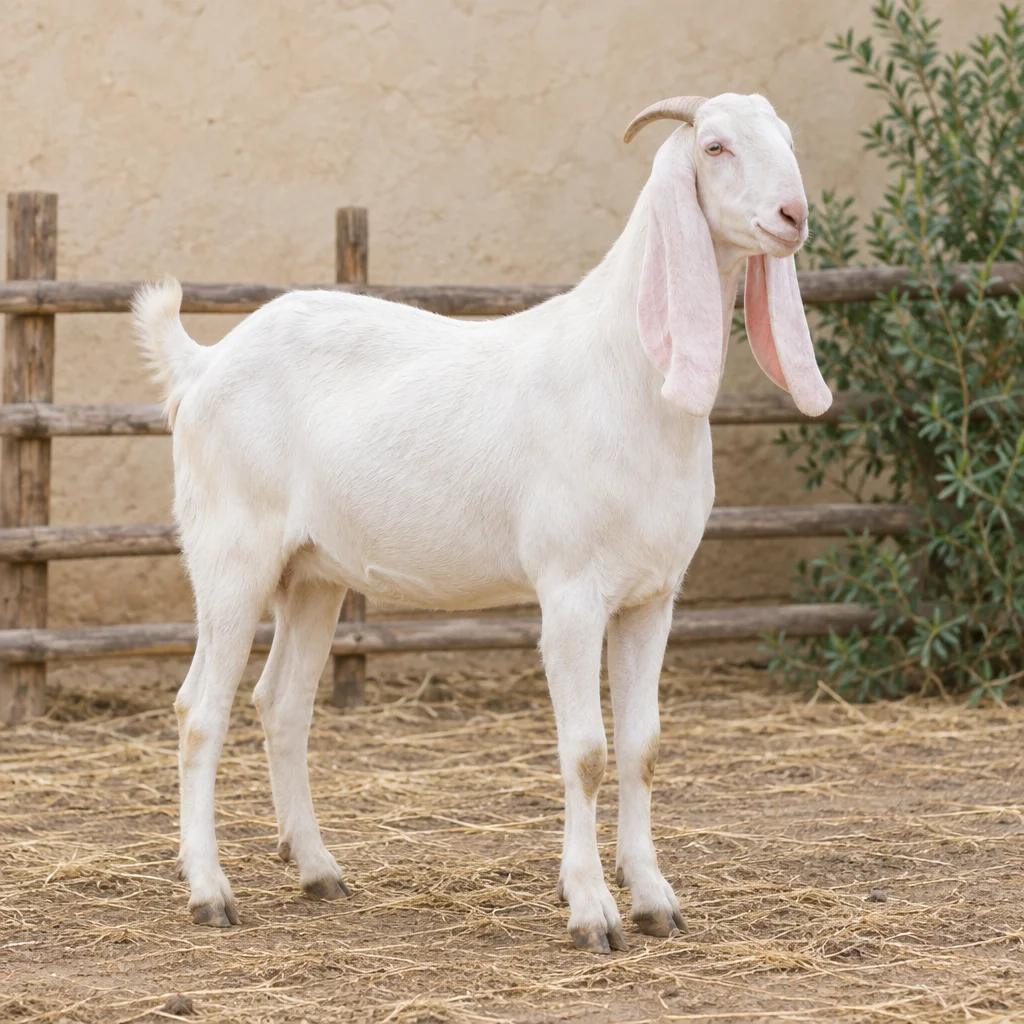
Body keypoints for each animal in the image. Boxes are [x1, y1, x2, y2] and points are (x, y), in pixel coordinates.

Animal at [133, 92, 831, 954]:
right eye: (715, 146)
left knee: (282, 704)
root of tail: (202, 365)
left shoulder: (652, 596)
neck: (627, 376)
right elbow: (587, 753)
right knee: (200, 710)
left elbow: (642, 749)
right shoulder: (570, 592)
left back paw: (319, 870)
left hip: (314, 571)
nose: (794, 215)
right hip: (230, 551)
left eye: (787, 139)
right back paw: (209, 891)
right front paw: (592, 911)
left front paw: (654, 899)